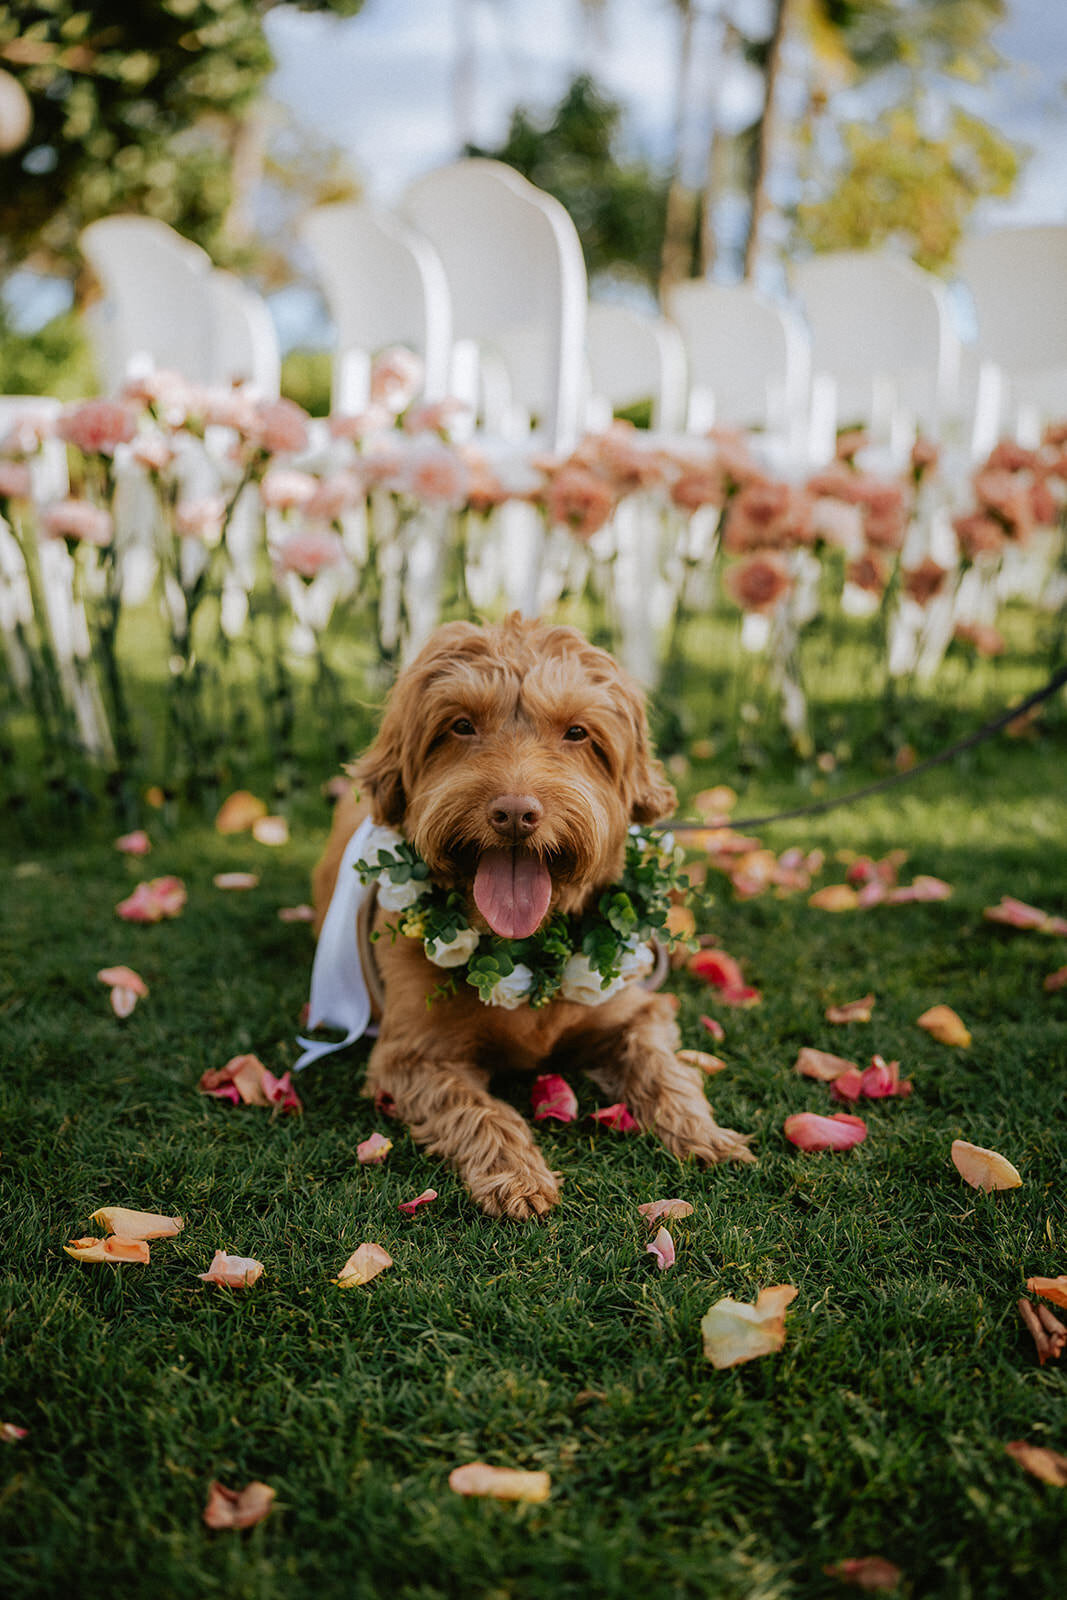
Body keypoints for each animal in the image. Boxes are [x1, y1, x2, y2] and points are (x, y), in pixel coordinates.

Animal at [313, 617, 755, 1216]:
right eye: (460, 725)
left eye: (577, 733)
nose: (515, 814)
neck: (523, 948)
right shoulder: (412, 1059)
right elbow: (479, 1109)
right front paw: (516, 1173)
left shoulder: (635, 1012)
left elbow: (663, 1067)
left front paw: (703, 1133)